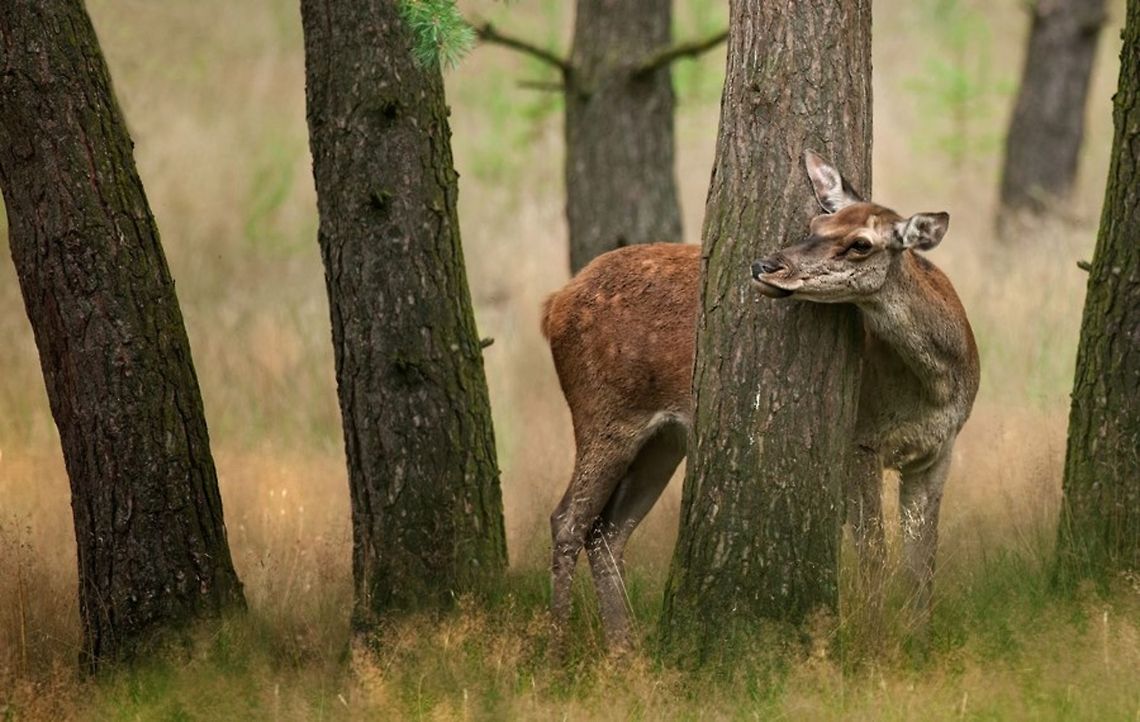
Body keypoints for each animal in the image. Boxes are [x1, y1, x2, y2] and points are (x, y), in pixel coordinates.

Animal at [540, 150, 980, 652]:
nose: (765, 265)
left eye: (861, 244)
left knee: (607, 531)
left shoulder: (938, 451)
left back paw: (625, 651)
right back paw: (558, 650)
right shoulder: (859, 440)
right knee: (568, 520)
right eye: (815, 222)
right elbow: (874, 553)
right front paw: (875, 642)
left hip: (664, 441)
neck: (935, 386)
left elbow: (922, 562)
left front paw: (918, 642)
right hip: (604, 410)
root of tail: (552, 305)